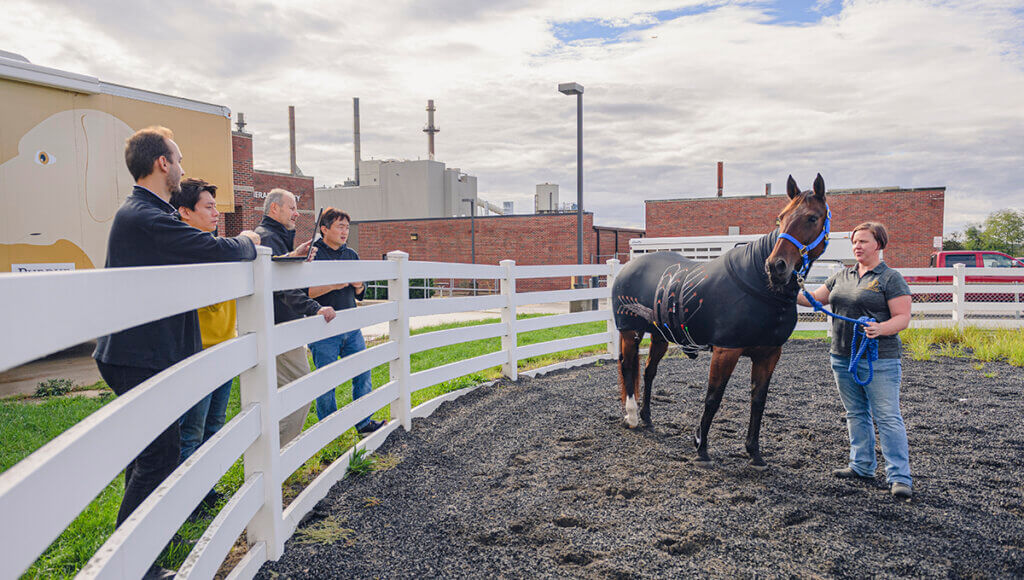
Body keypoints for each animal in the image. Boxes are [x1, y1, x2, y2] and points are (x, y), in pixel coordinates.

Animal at [610, 175, 827, 471]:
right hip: (630, 332)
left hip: (660, 337)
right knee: (628, 367)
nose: (776, 266)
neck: (759, 284)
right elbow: (713, 398)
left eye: (812, 218)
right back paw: (632, 416)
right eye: (780, 218)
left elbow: (758, 401)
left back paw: (647, 418)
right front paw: (701, 448)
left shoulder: (769, 354)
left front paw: (754, 453)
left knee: (648, 371)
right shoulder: (726, 351)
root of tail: (628, 267)